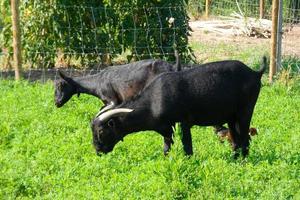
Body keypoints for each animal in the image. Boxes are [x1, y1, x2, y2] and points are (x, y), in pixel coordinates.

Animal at [91, 57, 268, 159]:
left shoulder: (183, 121)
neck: (154, 100)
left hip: (245, 111)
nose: (98, 150)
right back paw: (234, 159)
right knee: (236, 139)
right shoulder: (167, 127)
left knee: (244, 138)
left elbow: (186, 144)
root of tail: (255, 73)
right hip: (231, 117)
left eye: (101, 131)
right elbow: (167, 144)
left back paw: (243, 161)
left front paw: (189, 161)